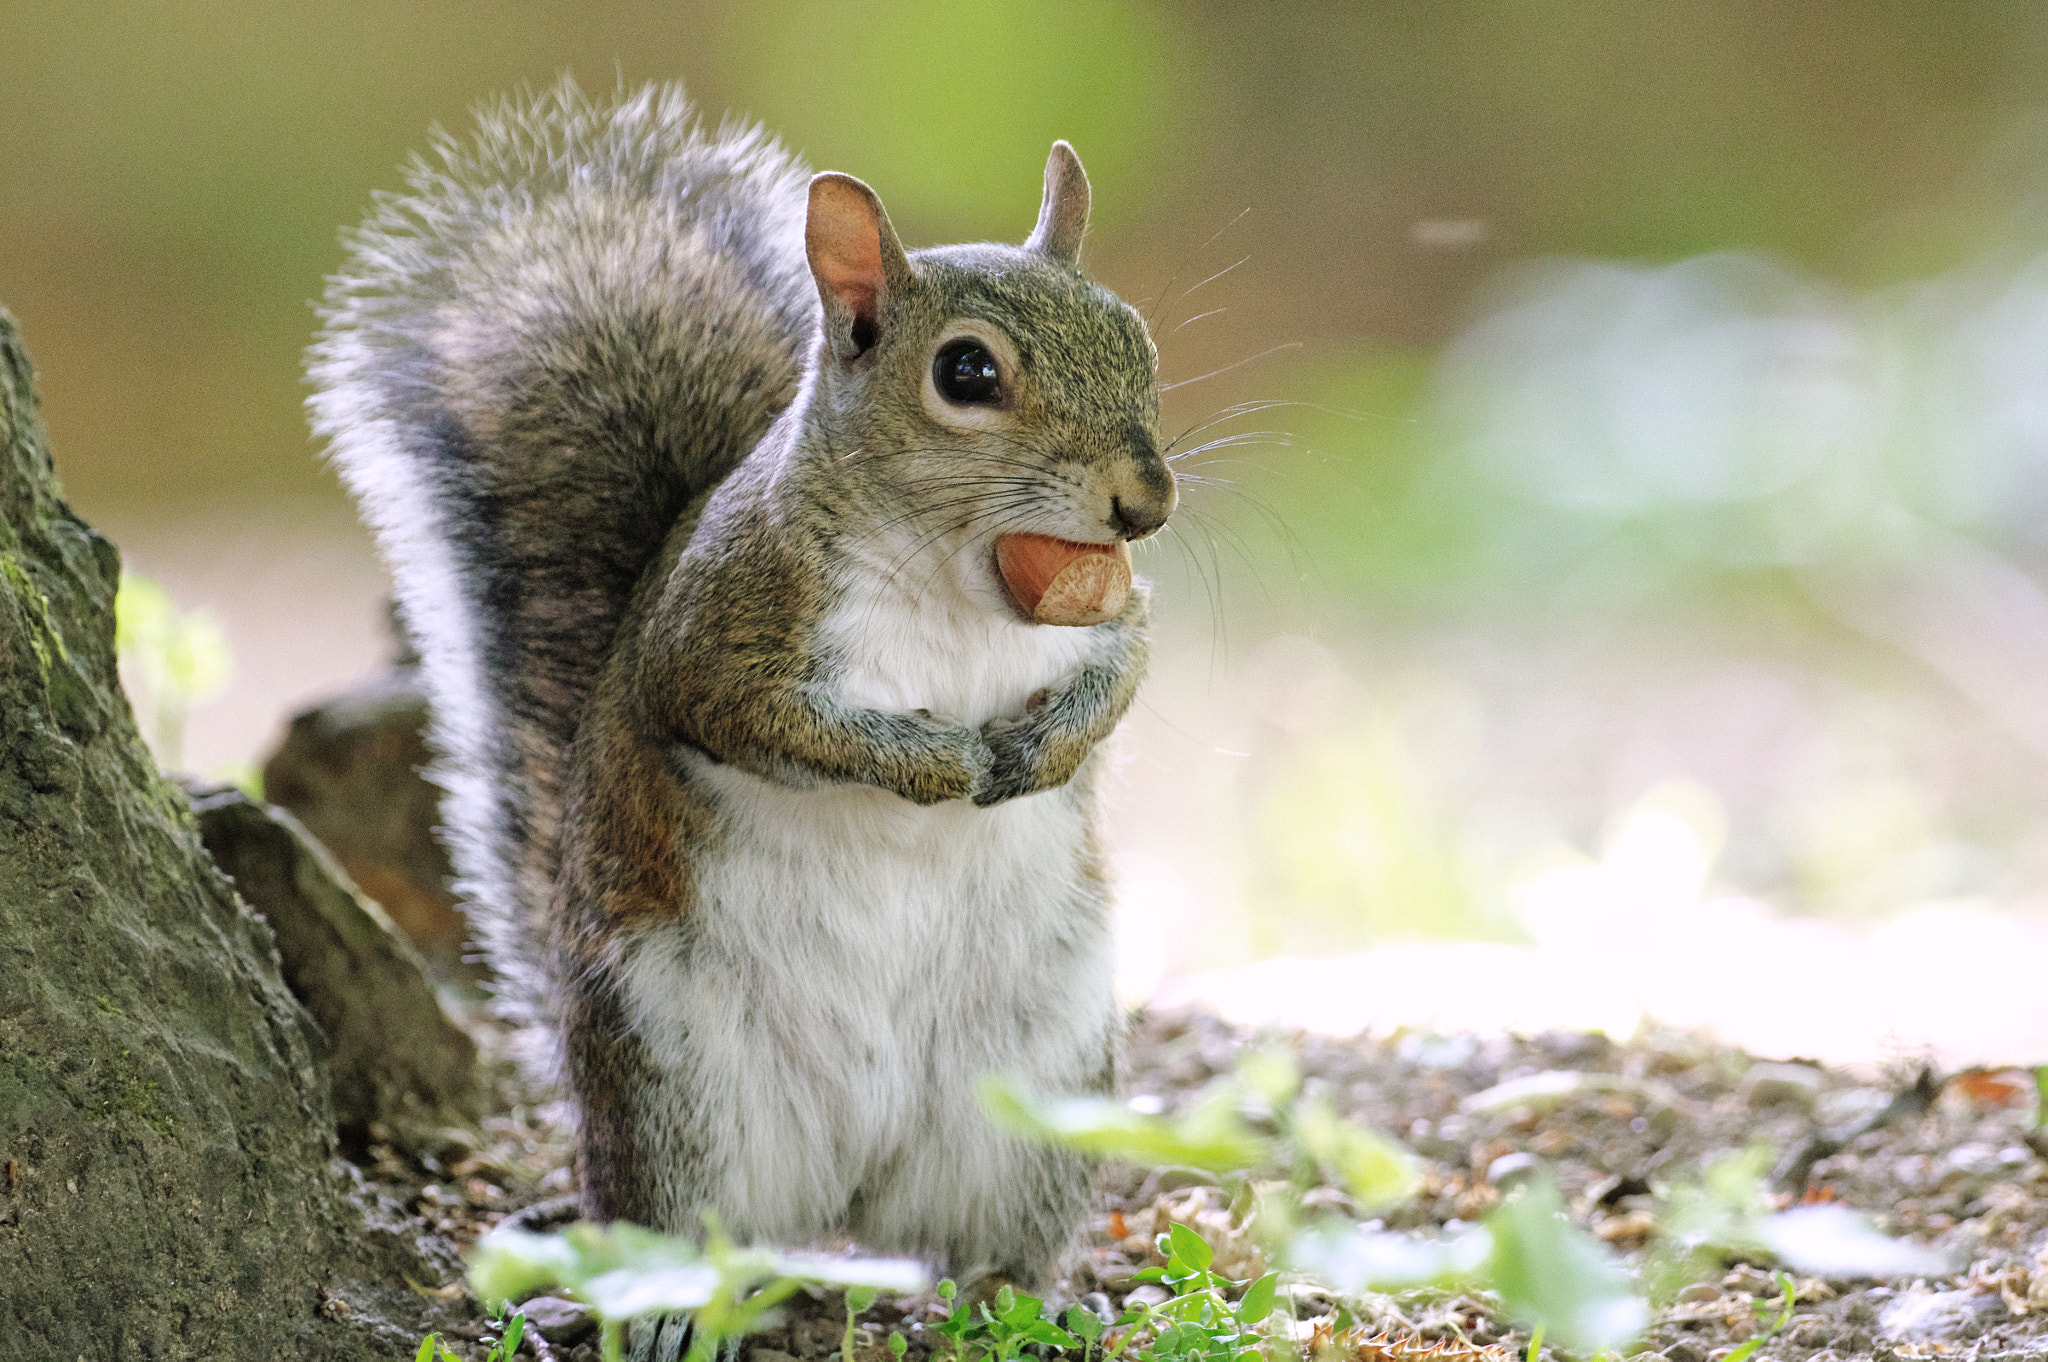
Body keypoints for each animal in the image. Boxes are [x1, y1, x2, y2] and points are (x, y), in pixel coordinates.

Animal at [309, 79, 1175, 1287]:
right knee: (680, 1222)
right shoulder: (720, 628)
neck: (956, 582)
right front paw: (931, 762)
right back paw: (675, 1295)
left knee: (981, 1248)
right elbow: (756, 718)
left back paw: (1029, 1299)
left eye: (1134, 336)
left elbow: (1125, 670)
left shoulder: (1108, 617)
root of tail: (843, 1198)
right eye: (966, 373)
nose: (1145, 505)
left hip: (1038, 1092)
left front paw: (1045, 749)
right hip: (669, 1072)